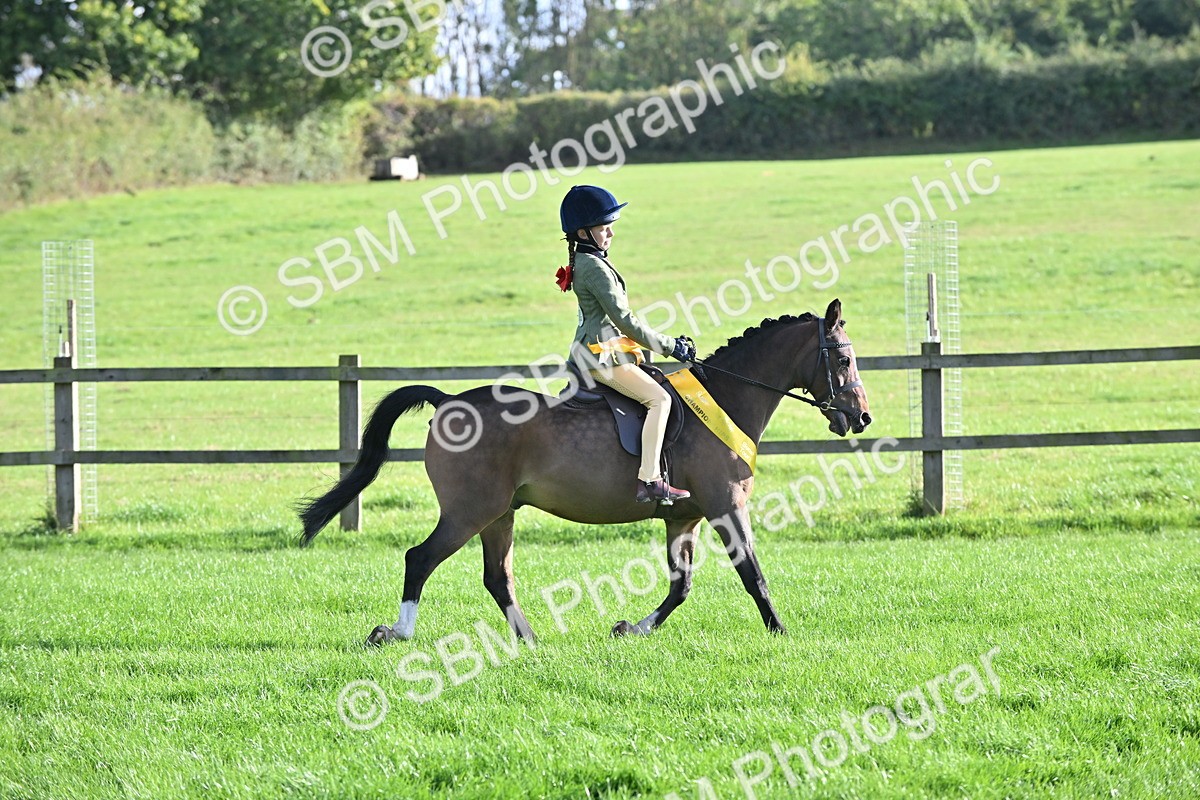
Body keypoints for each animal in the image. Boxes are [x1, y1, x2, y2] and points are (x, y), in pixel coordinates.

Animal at [298, 298, 871, 644]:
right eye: (843, 359)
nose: (861, 417)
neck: (728, 398)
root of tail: (449, 401)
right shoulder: (726, 506)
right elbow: (753, 574)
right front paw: (780, 631)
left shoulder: (682, 517)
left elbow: (680, 585)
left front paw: (633, 628)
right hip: (469, 511)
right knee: (420, 560)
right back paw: (398, 633)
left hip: (499, 514)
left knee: (497, 575)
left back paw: (529, 640)